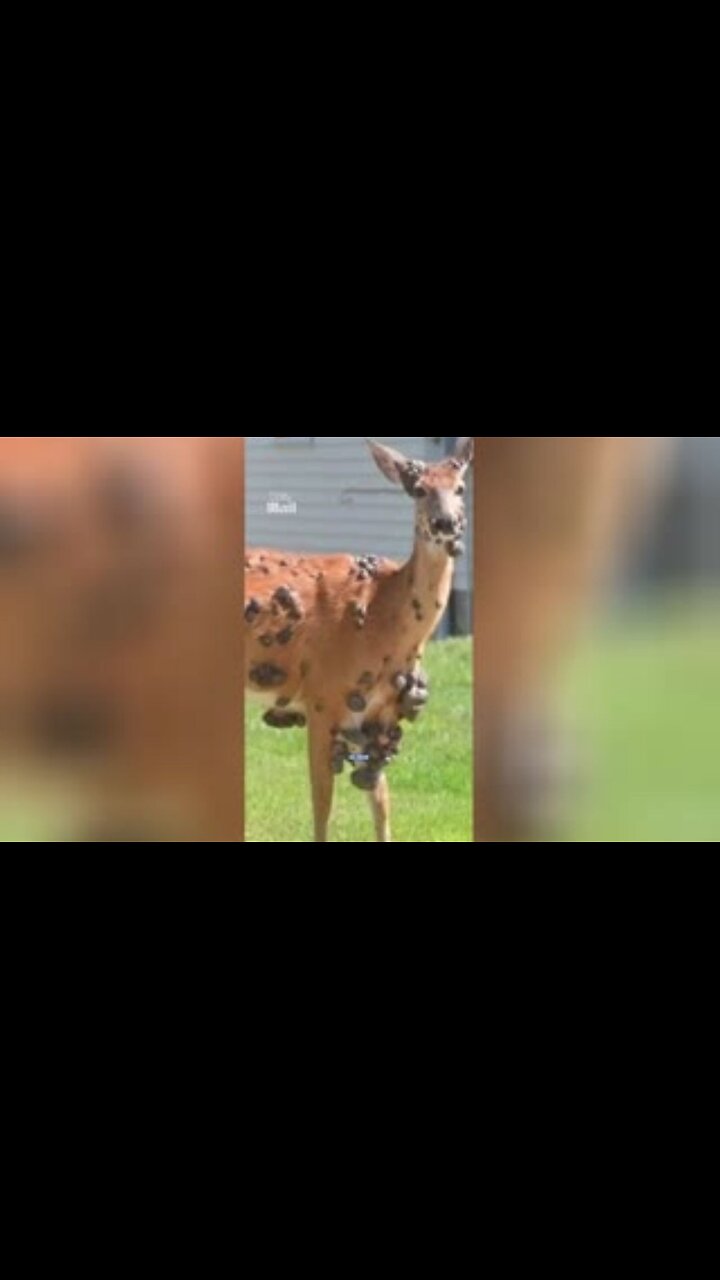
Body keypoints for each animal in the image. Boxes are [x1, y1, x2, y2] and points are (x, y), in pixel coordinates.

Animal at [244, 437, 474, 842]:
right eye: (419, 489)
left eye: (460, 487)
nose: (445, 523)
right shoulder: (321, 698)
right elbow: (322, 805)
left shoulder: (377, 712)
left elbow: (380, 800)